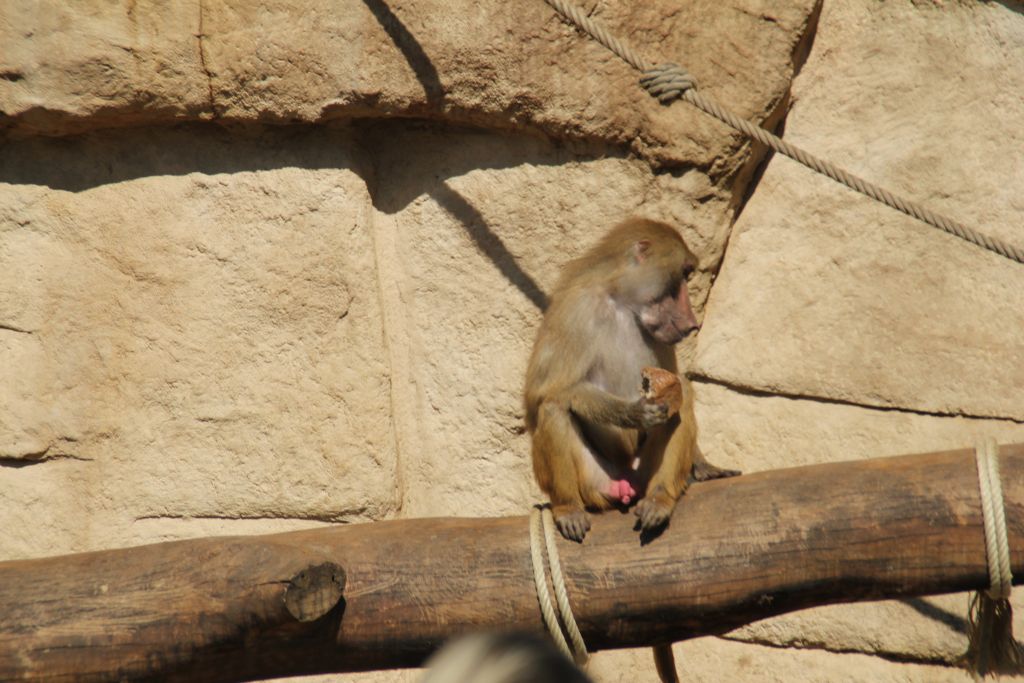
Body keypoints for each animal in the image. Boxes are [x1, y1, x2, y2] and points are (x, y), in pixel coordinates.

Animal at [524, 217, 739, 543]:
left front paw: (704, 465)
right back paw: (567, 507)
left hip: (643, 471)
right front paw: (633, 412)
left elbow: (676, 386)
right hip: (594, 480)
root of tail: (627, 481)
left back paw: (659, 500)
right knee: (553, 408)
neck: (623, 305)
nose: (692, 324)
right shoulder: (576, 309)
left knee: (683, 396)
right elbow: (542, 394)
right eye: (684, 274)